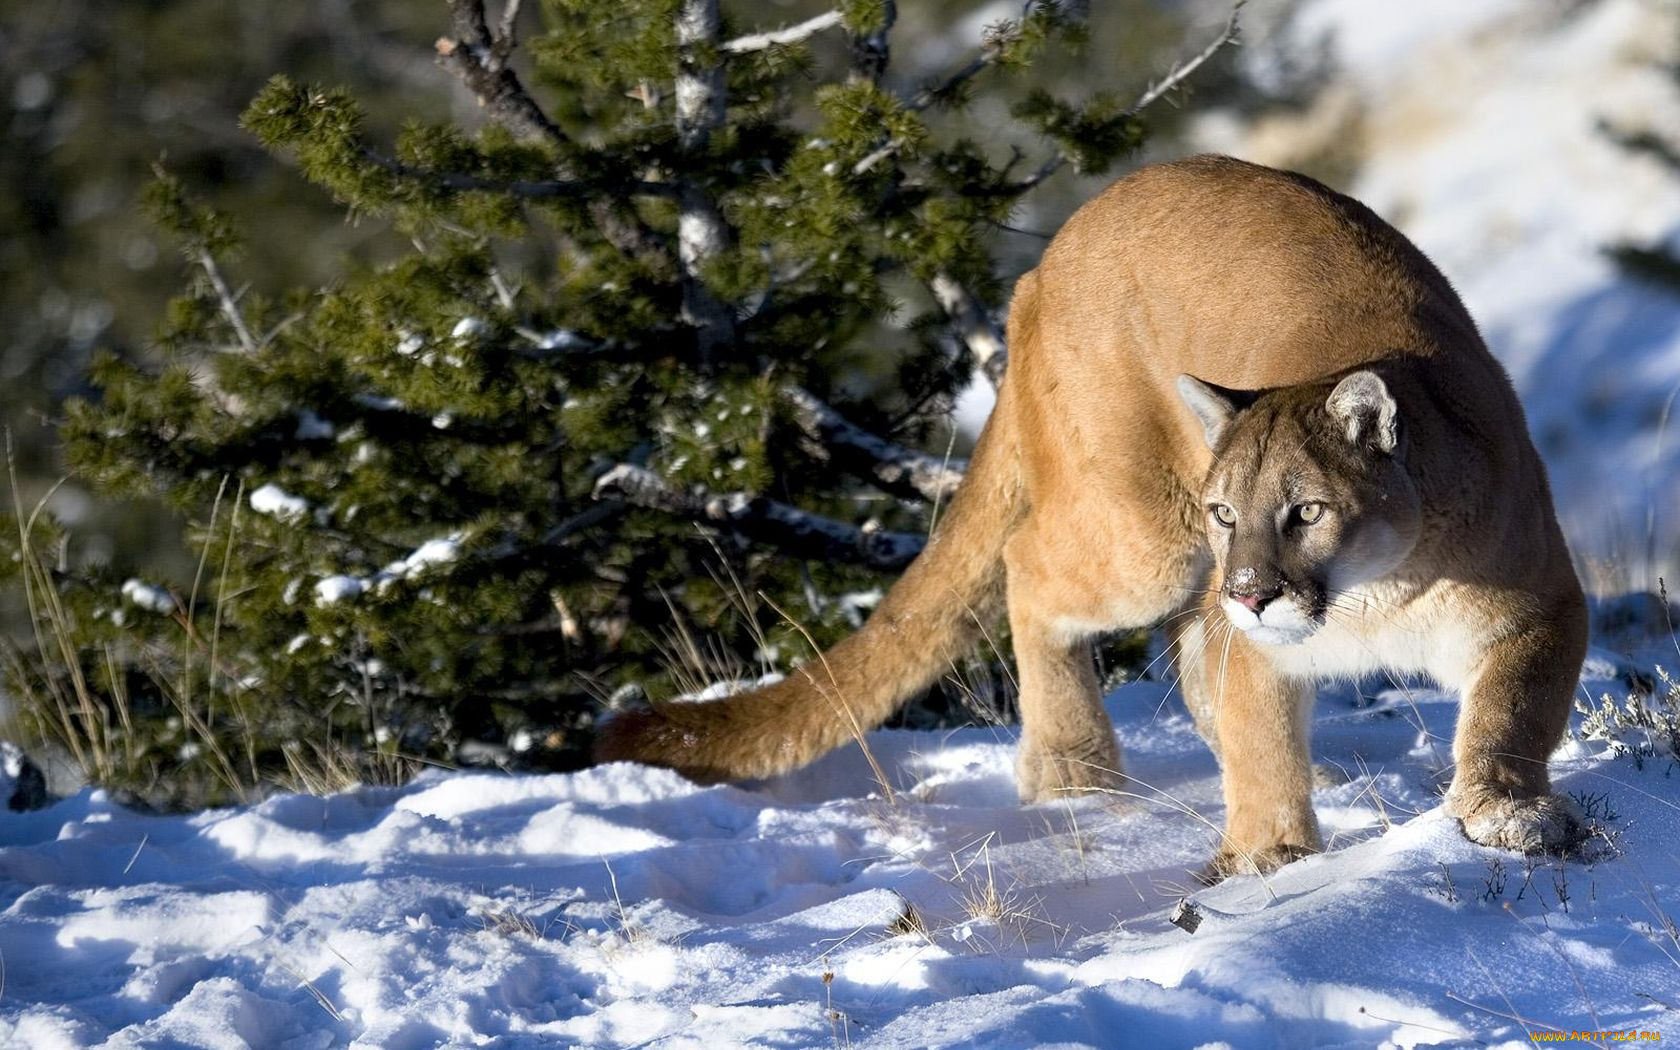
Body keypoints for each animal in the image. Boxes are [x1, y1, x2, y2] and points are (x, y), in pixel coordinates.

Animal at [601, 153, 1585, 873]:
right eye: (1229, 512)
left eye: (1306, 510)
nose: (1253, 590)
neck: (1373, 594)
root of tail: (1047, 259)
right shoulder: (1253, 632)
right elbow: (1263, 738)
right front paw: (1268, 856)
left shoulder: (1536, 602)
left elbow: (1512, 714)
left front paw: (1505, 813)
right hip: (1142, 536)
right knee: (1031, 566)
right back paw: (1073, 771)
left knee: (1178, 638)